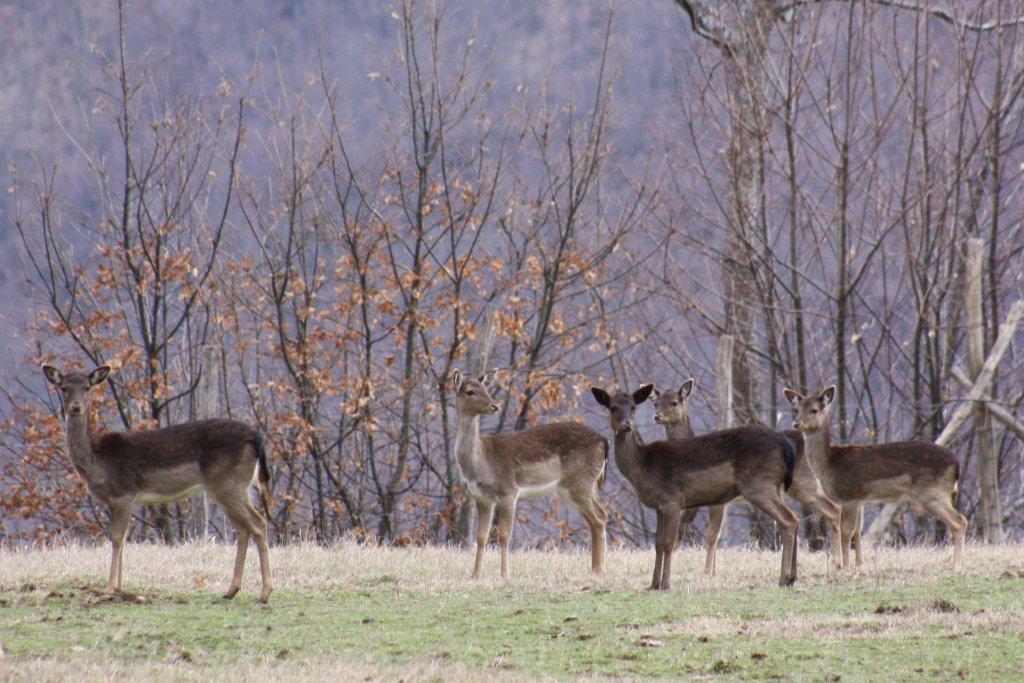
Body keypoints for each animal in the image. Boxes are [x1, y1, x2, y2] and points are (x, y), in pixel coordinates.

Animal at [41, 366, 274, 602]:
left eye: (87, 387)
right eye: (63, 387)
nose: (75, 406)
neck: (96, 462)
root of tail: (256, 438)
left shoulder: (125, 492)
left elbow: (116, 539)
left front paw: (108, 590)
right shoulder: (117, 502)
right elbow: (123, 540)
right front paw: (121, 589)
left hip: (229, 483)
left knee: (258, 523)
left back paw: (265, 593)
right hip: (230, 487)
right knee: (243, 529)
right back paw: (231, 590)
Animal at [450, 370, 606, 581]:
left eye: (486, 389)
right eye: (470, 391)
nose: (495, 405)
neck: (481, 463)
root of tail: (604, 442)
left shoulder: (508, 491)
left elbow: (504, 535)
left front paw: (505, 575)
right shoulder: (482, 499)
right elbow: (481, 537)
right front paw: (475, 575)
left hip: (580, 481)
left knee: (599, 517)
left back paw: (600, 569)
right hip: (577, 486)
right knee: (596, 517)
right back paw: (595, 568)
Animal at [593, 385, 798, 589]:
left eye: (633, 407)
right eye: (612, 407)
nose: (626, 425)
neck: (642, 467)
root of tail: (786, 447)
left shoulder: (672, 500)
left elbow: (668, 542)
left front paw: (666, 584)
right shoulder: (659, 507)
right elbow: (657, 543)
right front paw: (653, 584)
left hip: (759, 485)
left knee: (788, 520)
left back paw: (783, 579)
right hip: (773, 487)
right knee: (793, 519)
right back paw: (791, 578)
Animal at [651, 378, 843, 573]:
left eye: (674, 402)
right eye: (655, 403)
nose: (657, 416)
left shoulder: (715, 500)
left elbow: (711, 535)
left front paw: (707, 572)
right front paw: (713, 571)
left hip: (801, 482)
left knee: (830, 509)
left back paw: (837, 562)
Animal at [782, 385, 966, 573]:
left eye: (814, 410)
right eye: (797, 409)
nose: (796, 423)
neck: (829, 464)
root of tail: (957, 465)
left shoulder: (849, 495)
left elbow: (847, 531)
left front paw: (845, 567)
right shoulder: (860, 500)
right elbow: (857, 530)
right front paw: (858, 565)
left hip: (932, 492)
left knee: (960, 521)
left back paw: (957, 567)